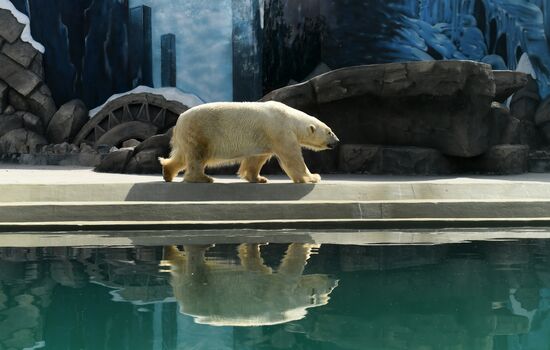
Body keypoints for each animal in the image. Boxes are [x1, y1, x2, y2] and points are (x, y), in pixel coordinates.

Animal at [157, 100, 338, 183]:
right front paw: (313, 177)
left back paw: (167, 172)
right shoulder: (281, 131)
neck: (290, 118)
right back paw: (203, 178)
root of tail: (179, 119)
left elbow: (256, 159)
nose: (337, 141)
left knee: (182, 156)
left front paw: (259, 178)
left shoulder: (264, 138)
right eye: (329, 131)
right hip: (200, 131)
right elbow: (292, 158)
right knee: (197, 156)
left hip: (188, 135)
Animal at [164, 243, 338, 326]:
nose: (335, 280)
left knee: (178, 265)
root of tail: (182, 304)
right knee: (195, 267)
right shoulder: (281, 291)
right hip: (197, 289)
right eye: (329, 290)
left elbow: (255, 265)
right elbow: (291, 268)